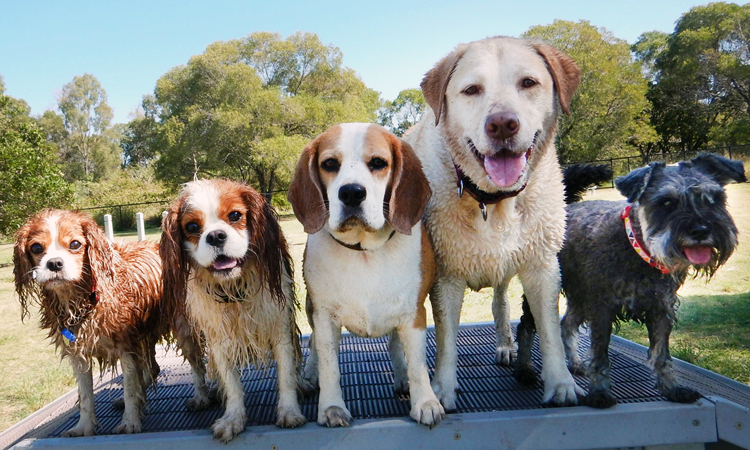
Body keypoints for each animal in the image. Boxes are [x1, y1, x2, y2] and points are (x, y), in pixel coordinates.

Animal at [284, 125, 444, 428]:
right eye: (329, 164)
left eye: (378, 163)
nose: (351, 193)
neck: (364, 251)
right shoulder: (325, 316)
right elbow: (329, 366)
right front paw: (332, 407)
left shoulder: (413, 314)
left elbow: (416, 364)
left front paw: (425, 402)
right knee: (314, 346)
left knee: (396, 345)